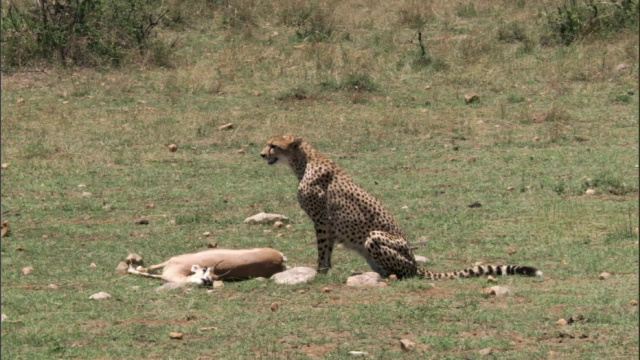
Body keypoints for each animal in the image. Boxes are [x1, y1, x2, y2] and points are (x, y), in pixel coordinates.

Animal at [260, 136, 540, 280]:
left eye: (273, 145)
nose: (262, 154)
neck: (303, 160)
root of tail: (415, 262)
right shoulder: (327, 223)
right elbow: (327, 250)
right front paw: (324, 271)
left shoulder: (322, 220)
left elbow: (322, 249)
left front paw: (320, 272)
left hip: (375, 238)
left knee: (405, 272)